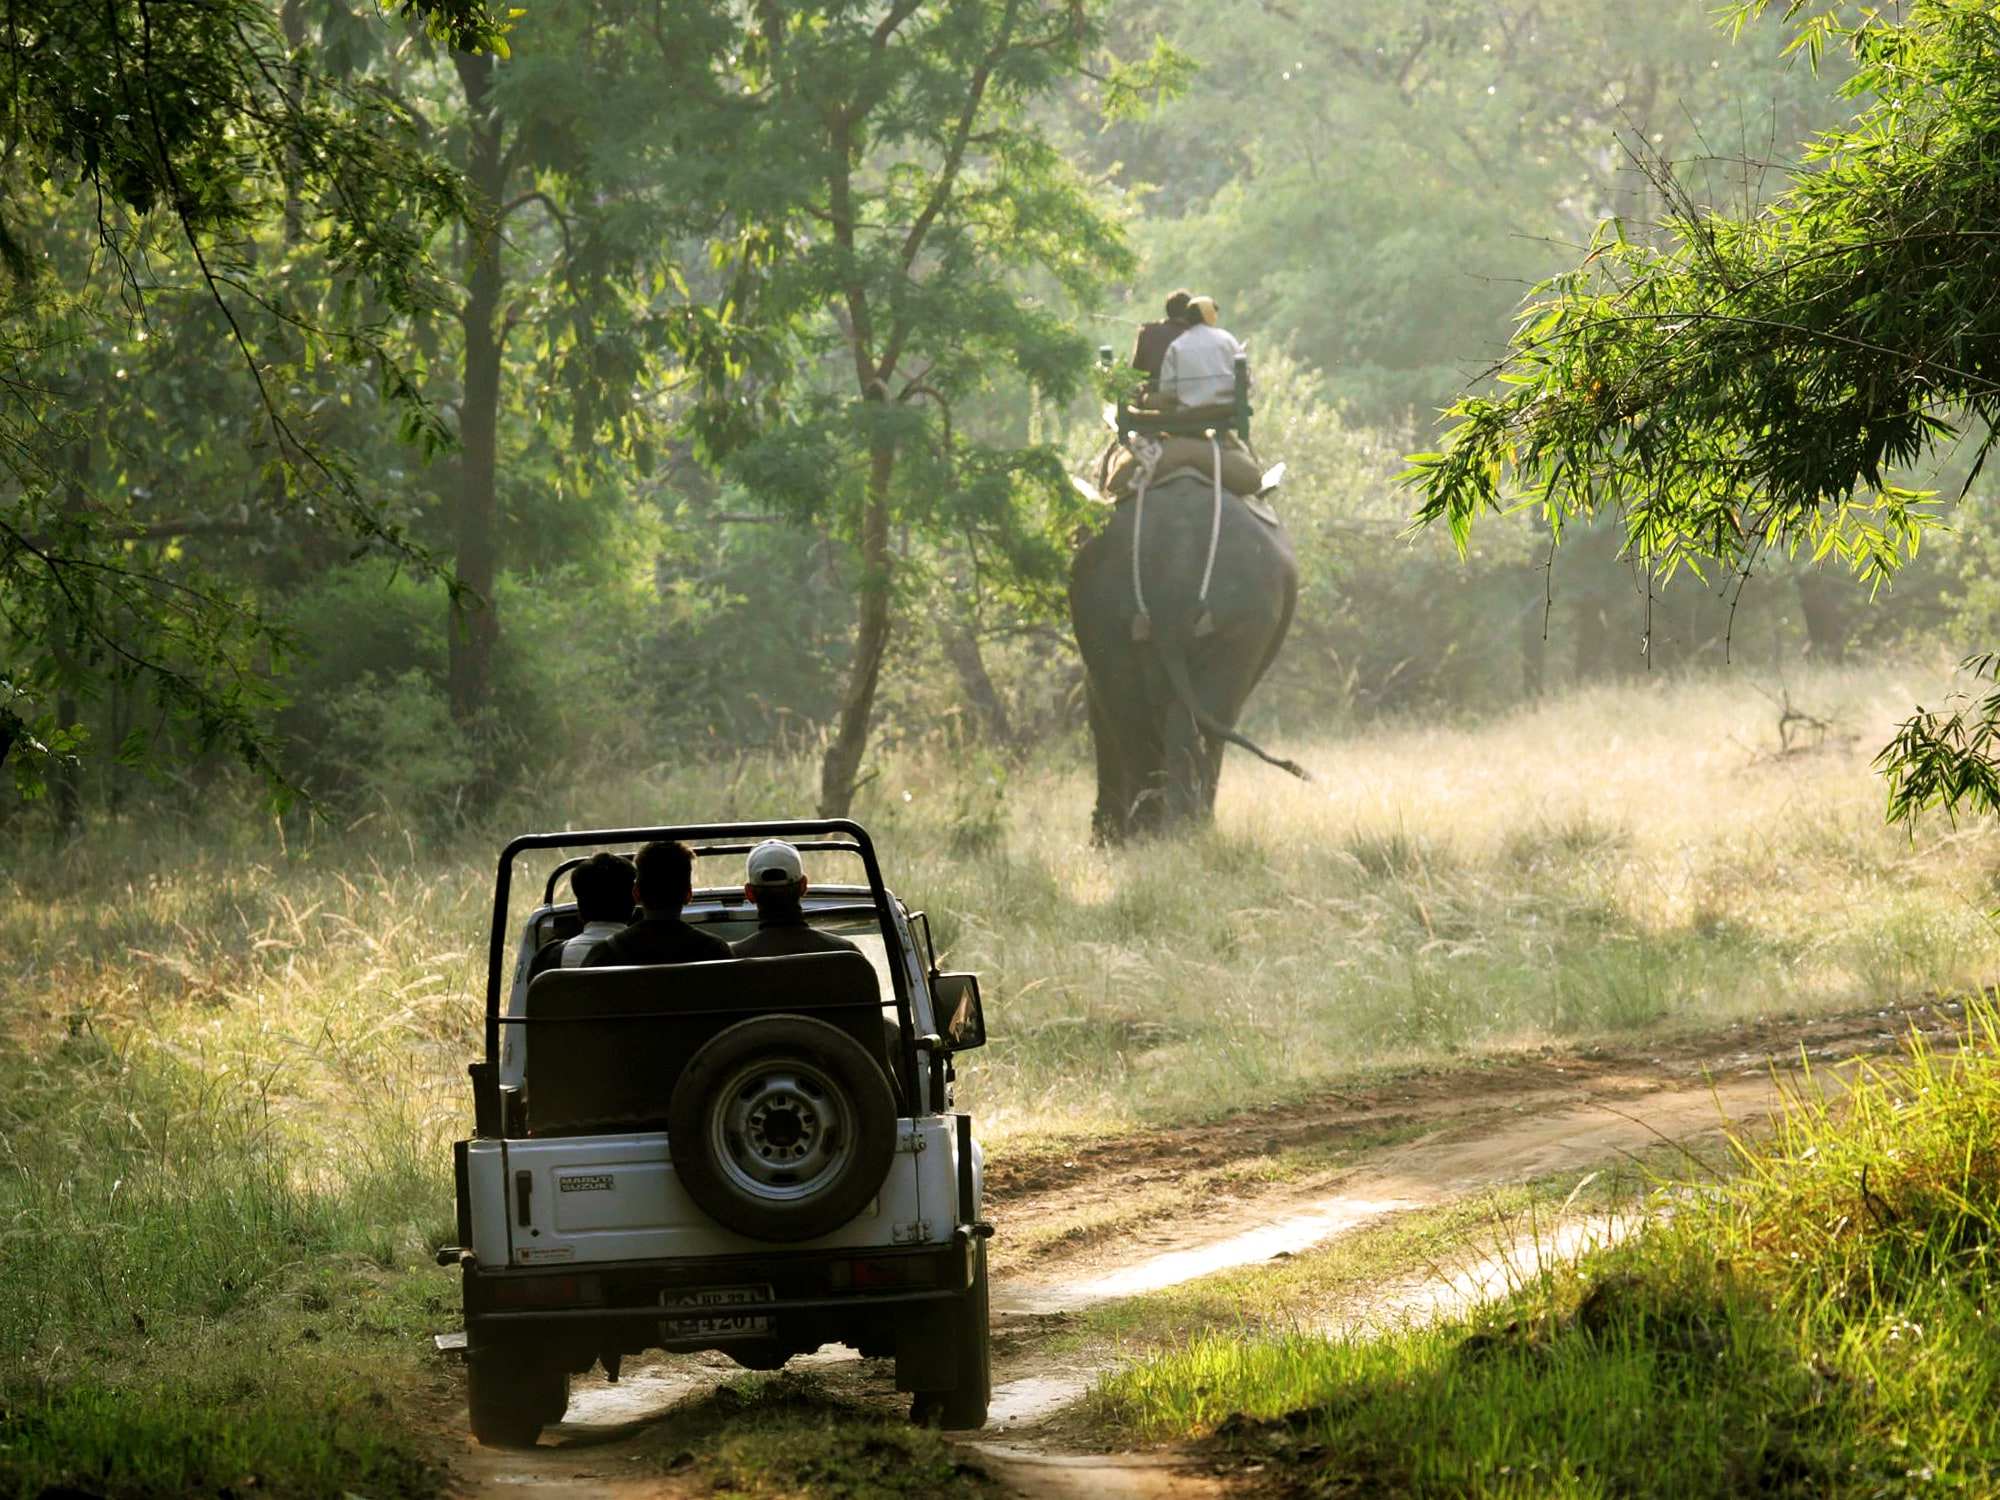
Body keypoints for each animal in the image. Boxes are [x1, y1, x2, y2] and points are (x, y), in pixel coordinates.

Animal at [1072, 470, 1304, 848]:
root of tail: (1174, 574)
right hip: (1240, 611)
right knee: (1199, 715)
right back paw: (1172, 829)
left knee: (1152, 715)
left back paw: (1164, 831)